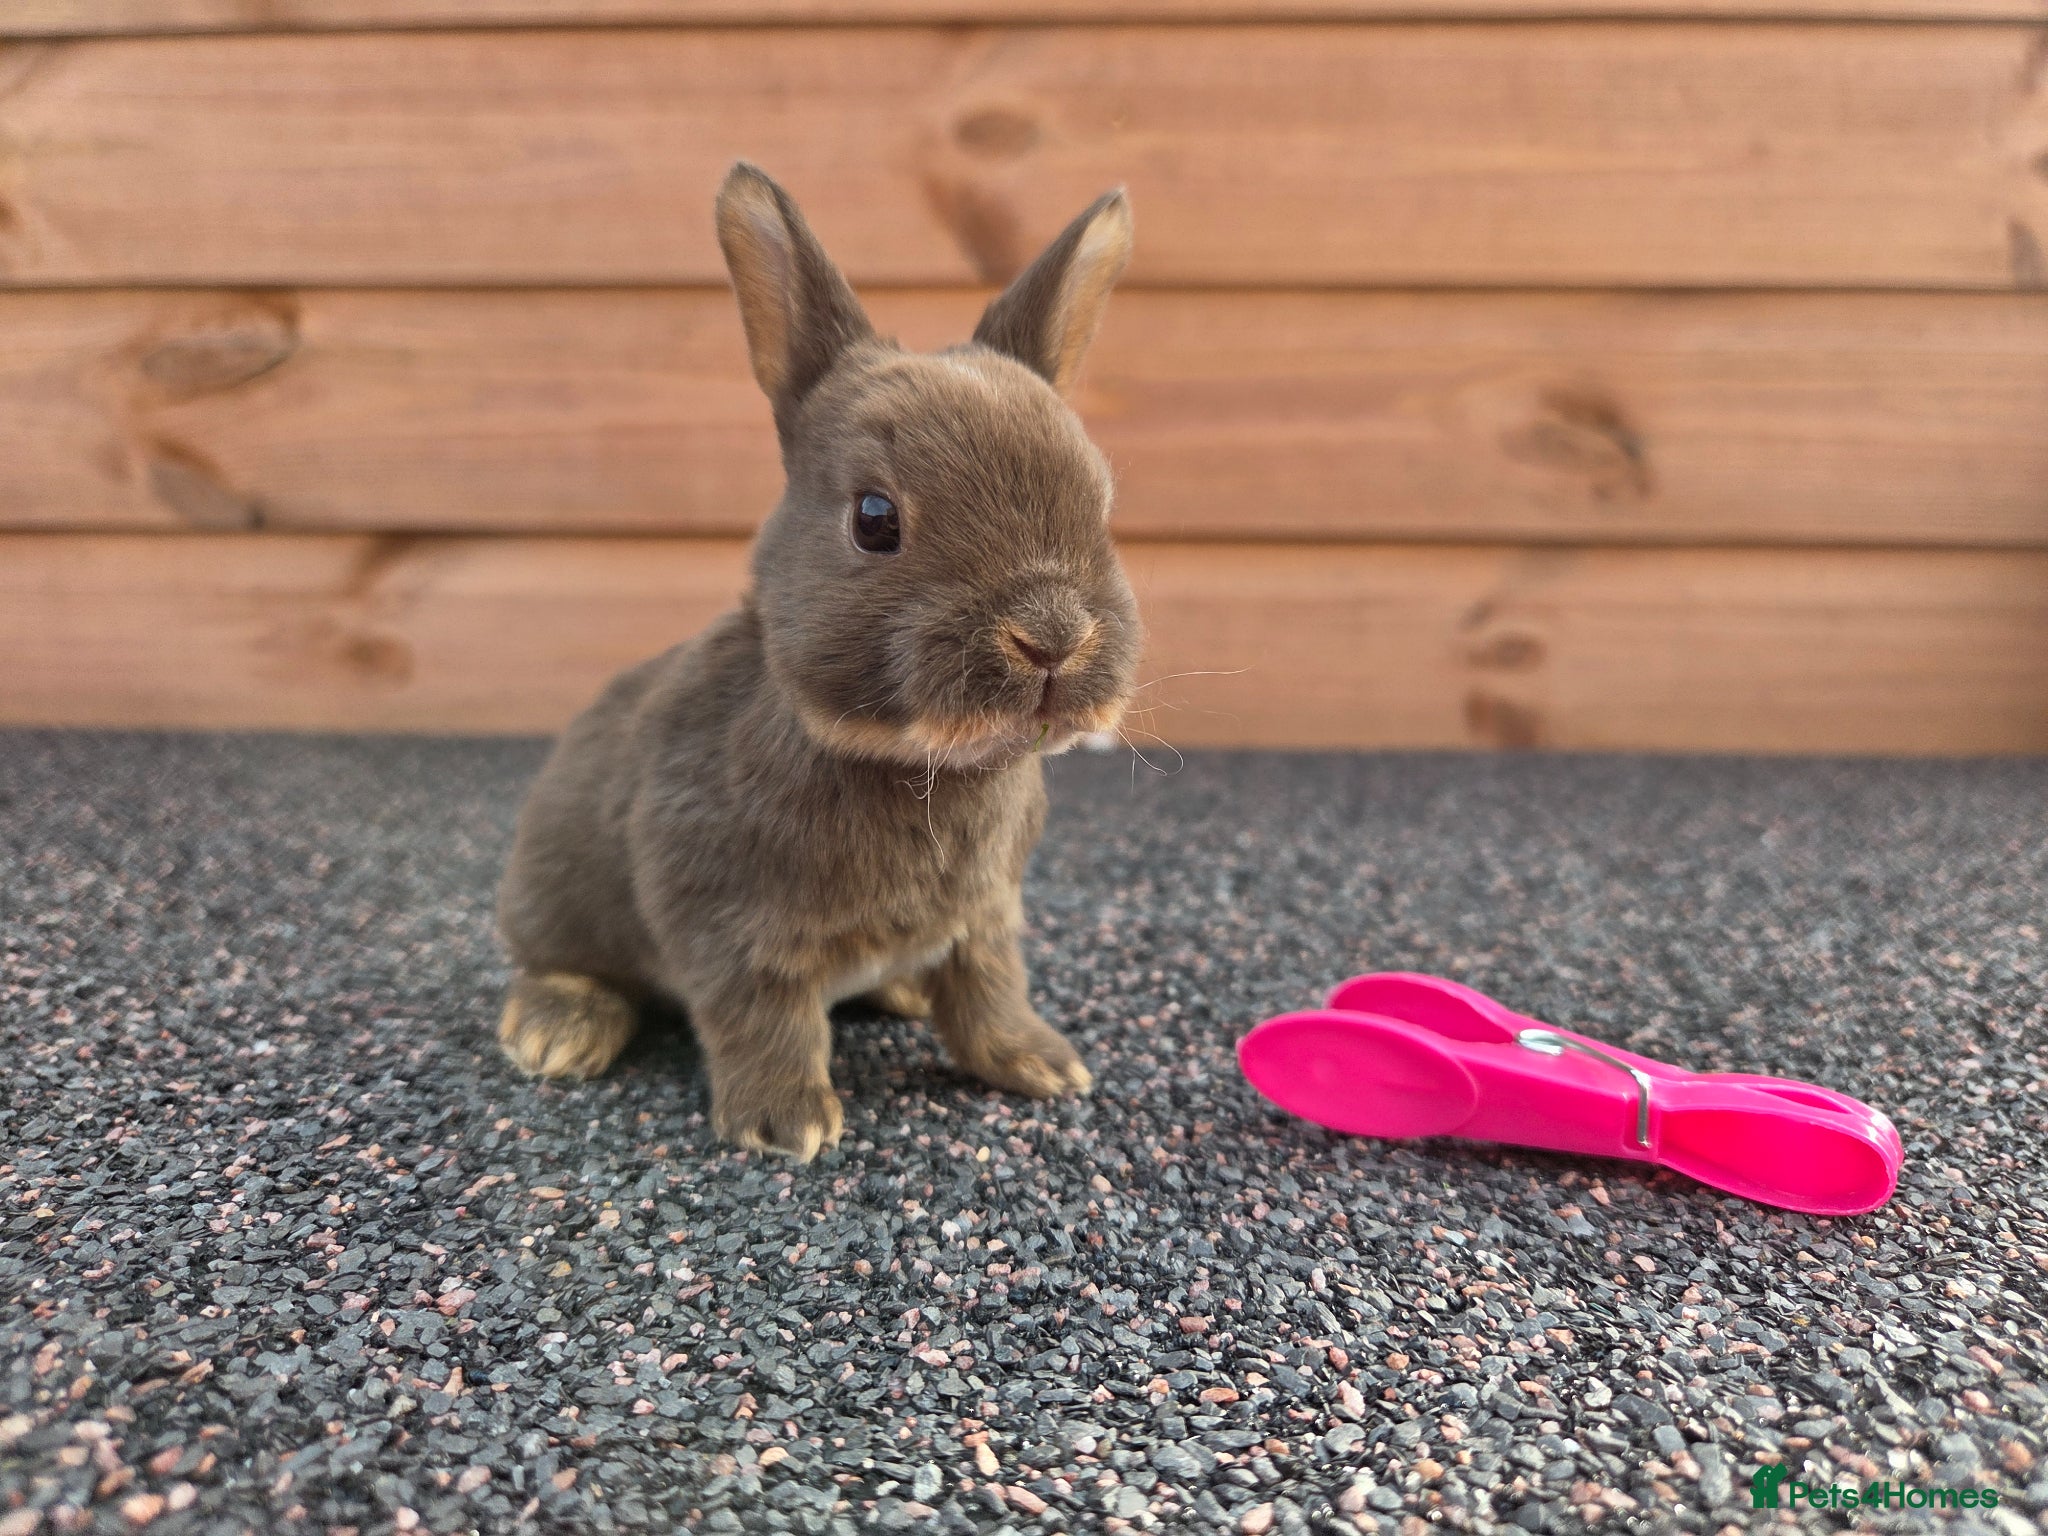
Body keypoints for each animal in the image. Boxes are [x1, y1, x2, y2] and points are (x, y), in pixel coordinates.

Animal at [494, 163, 1142, 1160]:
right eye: (875, 519)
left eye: (1101, 506)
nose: (1052, 635)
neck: (913, 761)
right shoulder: (727, 921)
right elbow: (762, 1010)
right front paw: (784, 1121)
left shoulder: (987, 920)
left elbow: (991, 992)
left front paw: (1040, 1064)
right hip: (554, 895)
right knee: (560, 966)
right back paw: (556, 1031)